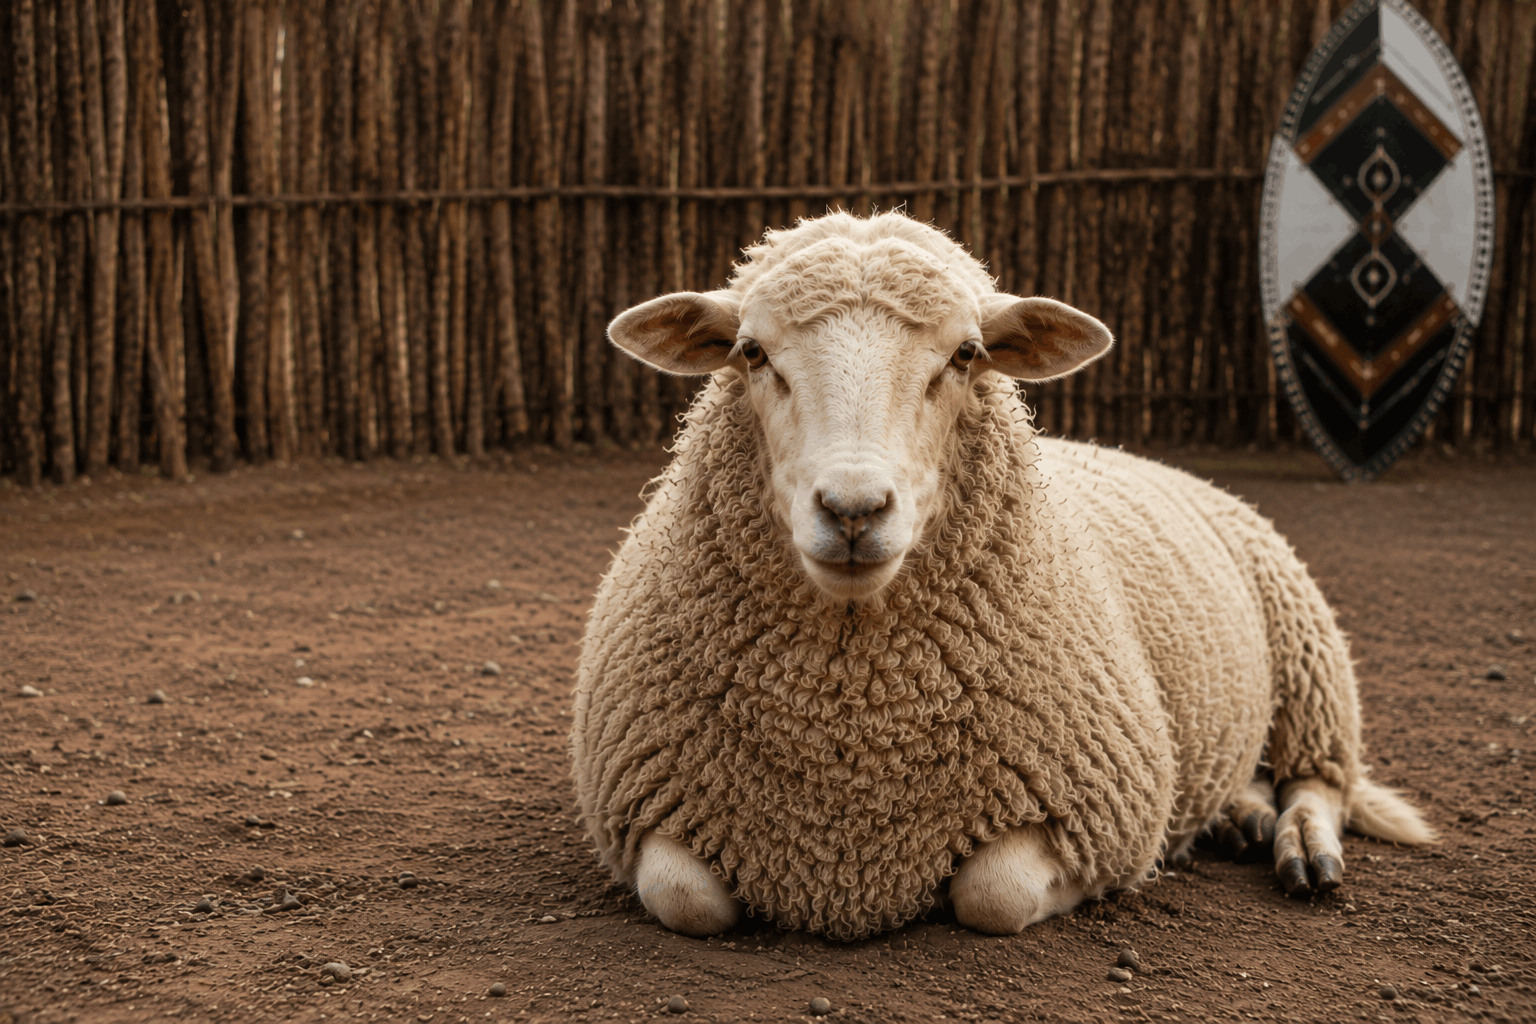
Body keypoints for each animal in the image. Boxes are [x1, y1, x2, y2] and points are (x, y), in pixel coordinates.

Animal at [570, 210, 1435, 941]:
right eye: (751, 353)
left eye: (966, 355)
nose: (854, 510)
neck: (850, 740)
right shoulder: (642, 811)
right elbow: (688, 899)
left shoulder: (1104, 804)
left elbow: (995, 895)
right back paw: (1240, 817)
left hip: (1312, 662)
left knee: (1320, 781)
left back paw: (1301, 846)